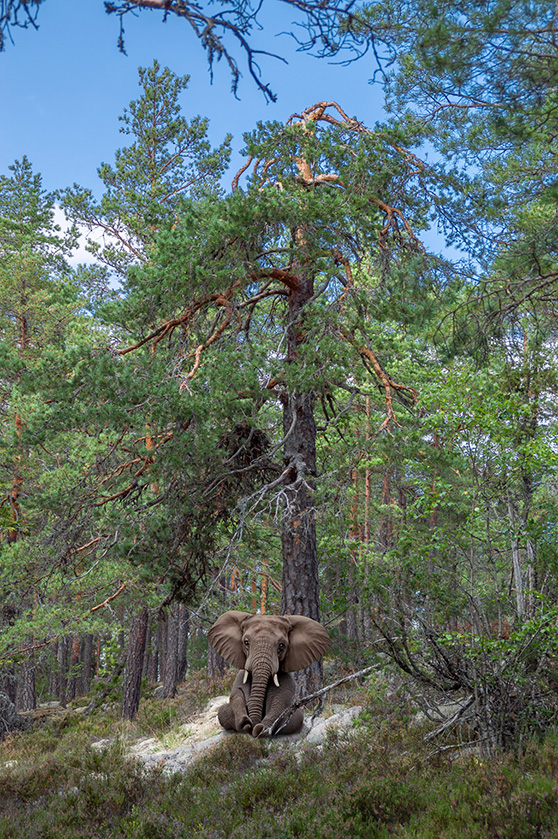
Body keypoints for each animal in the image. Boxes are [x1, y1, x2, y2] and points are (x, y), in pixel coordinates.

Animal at [210, 612, 332, 740]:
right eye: (246, 642)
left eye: (281, 646)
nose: (252, 728)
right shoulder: (240, 675)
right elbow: (236, 696)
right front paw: (245, 723)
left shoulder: (286, 679)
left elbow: (278, 702)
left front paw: (262, 729)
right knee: (222, 711)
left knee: (298, 716)